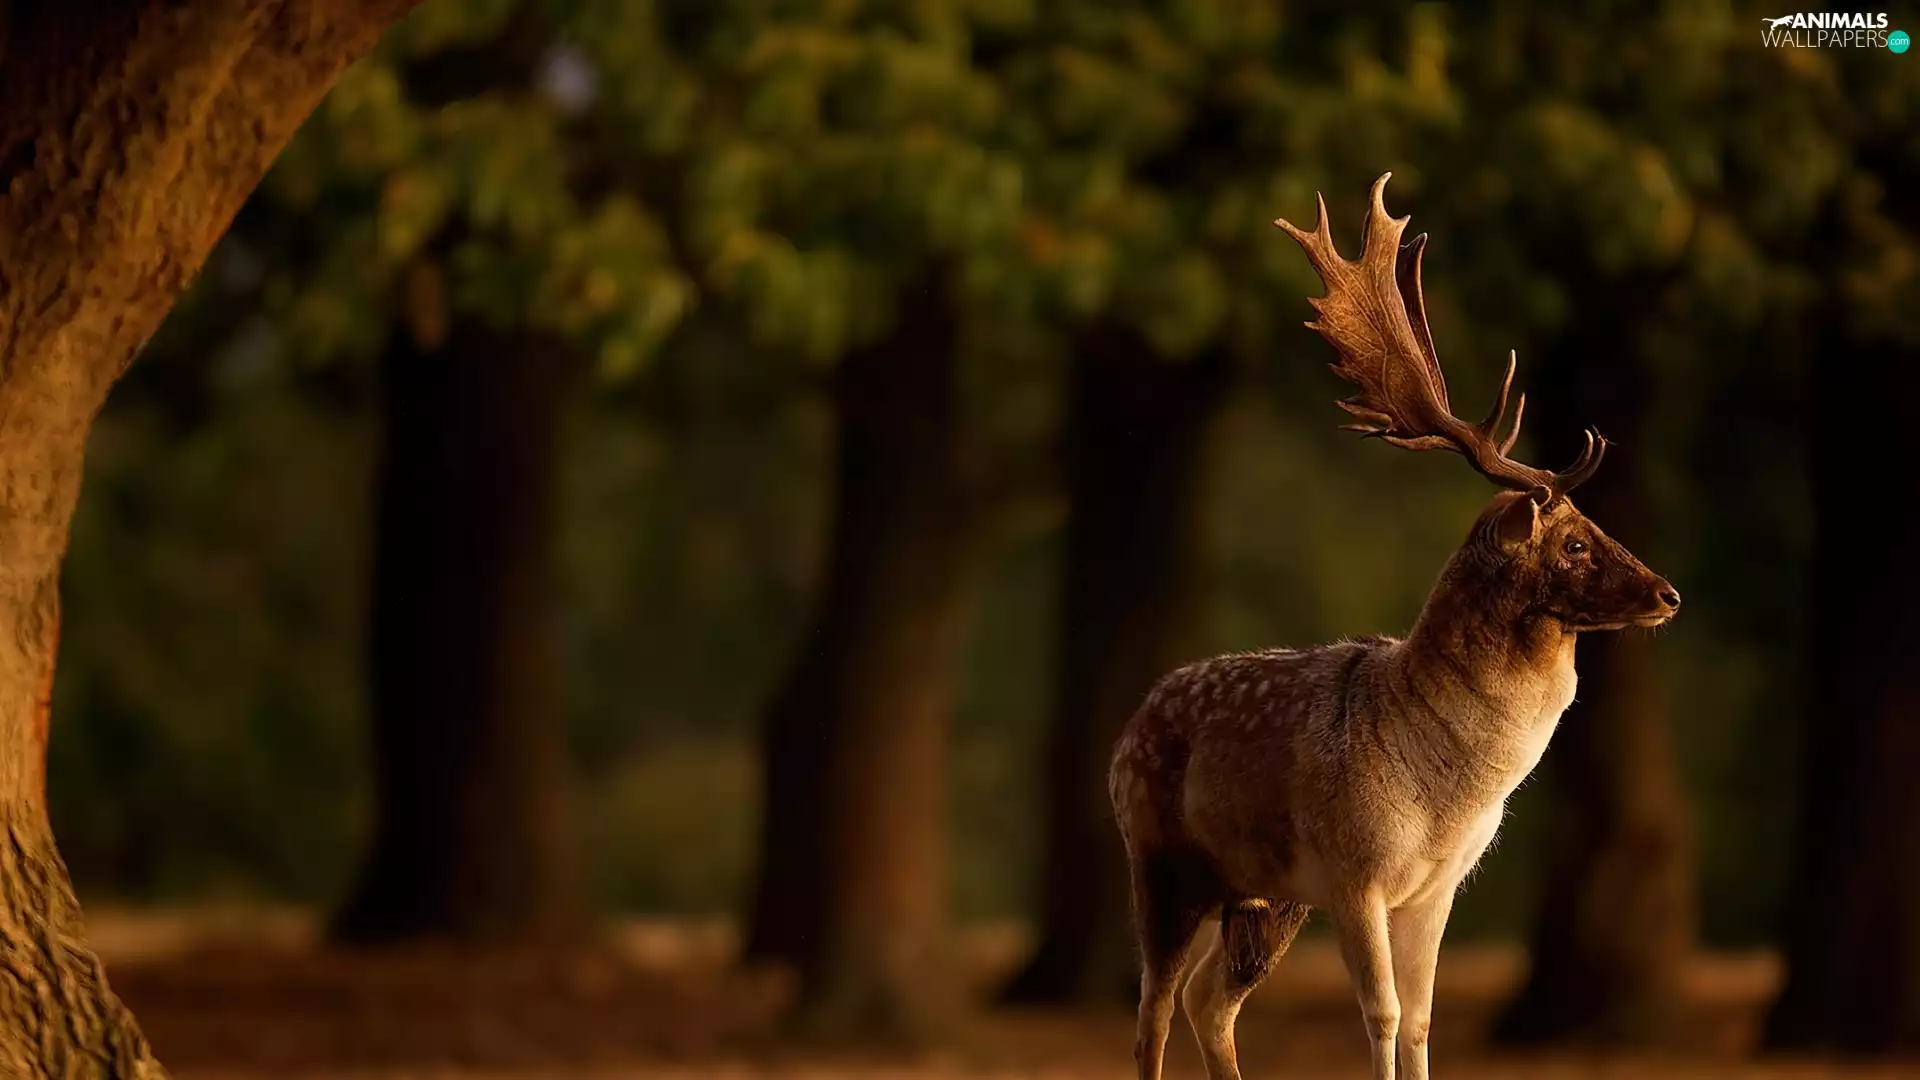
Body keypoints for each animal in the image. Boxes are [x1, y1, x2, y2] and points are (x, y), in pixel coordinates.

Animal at [1108, 173, 1681, 1080]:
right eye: (1574, 541)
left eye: (1593, 524)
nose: (1668, 594)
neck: (1447, 796)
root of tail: (1125, 733)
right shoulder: (1356, 870)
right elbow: (1379, 1016)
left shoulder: (1435, 887)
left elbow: (1419, 1020)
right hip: (1161, 862)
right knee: (1151, 1011)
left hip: (1262, 896)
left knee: (1207, 1002)